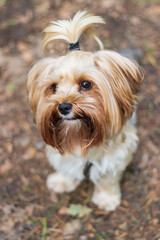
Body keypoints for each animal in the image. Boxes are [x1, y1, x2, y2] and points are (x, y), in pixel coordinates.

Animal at [26, 11, 143, 210]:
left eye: (86, 84)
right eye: (54, 87)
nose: (63, 106)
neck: (79, 135)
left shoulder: (116, 155)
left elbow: (108, 178)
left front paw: (106, 198)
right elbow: (66, 166)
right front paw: (62, 181)